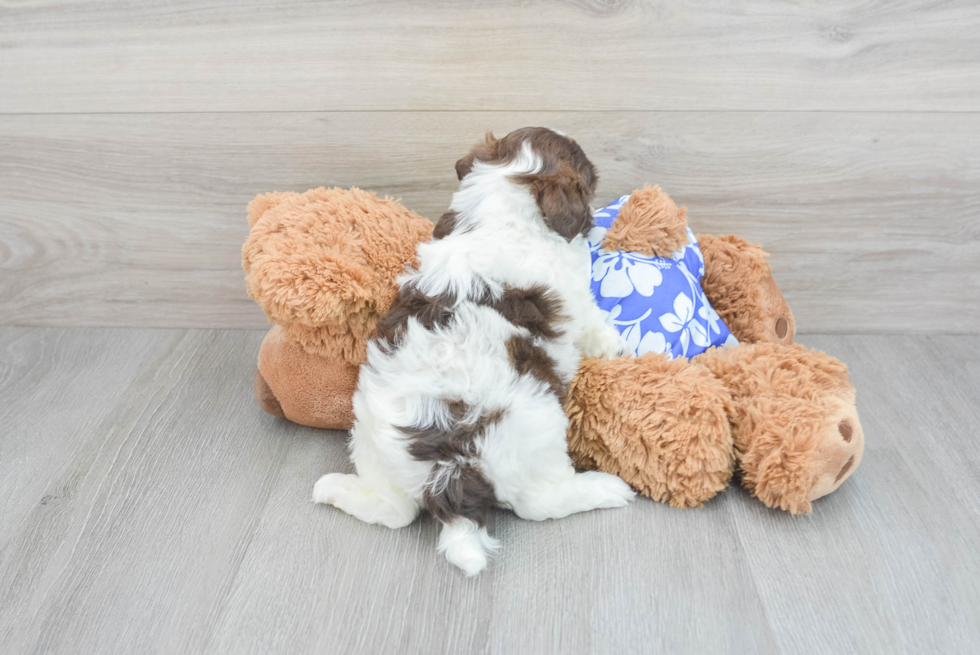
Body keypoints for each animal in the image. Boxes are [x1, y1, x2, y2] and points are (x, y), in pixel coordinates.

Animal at [314, 127, 636, 576]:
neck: (505, 200)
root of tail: (451, 470)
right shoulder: (577, 297)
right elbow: (594, 323)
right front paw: (619, 345)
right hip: (538, 431)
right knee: (540, 502)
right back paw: (604, 488)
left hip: (370, 436)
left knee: (394, 509)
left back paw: (333, 489)